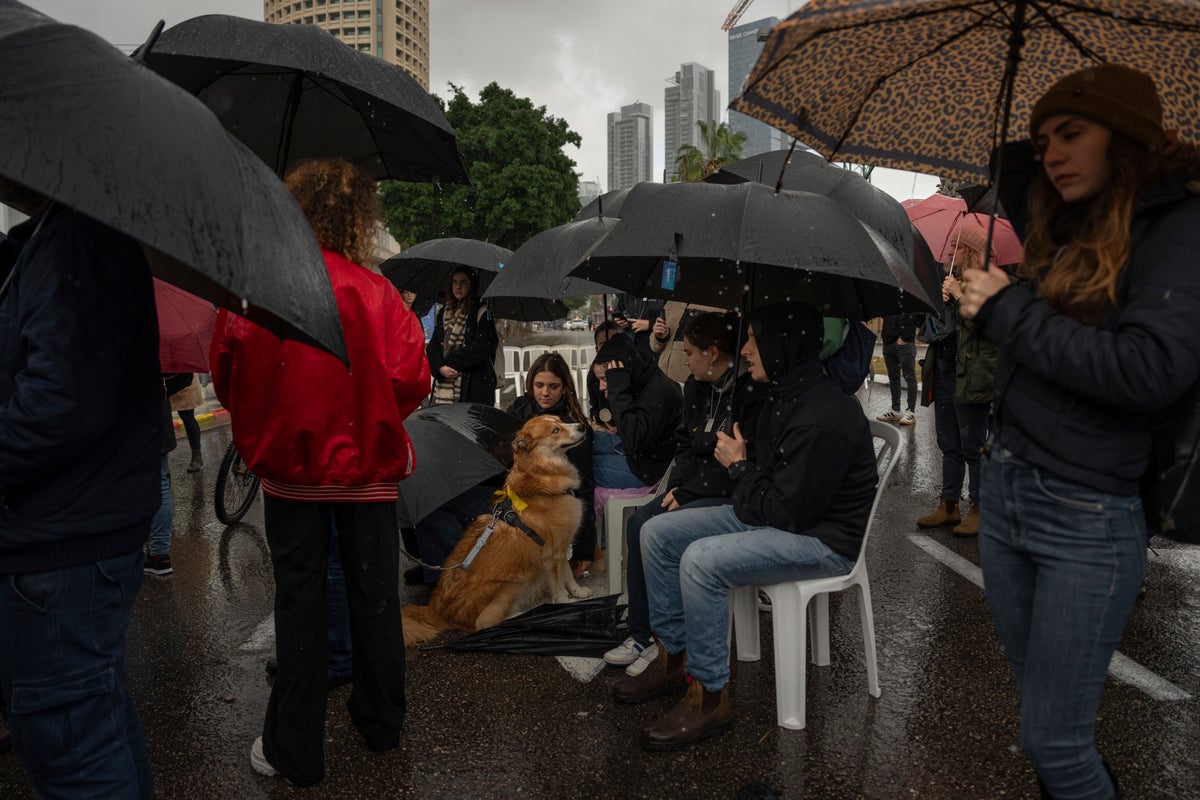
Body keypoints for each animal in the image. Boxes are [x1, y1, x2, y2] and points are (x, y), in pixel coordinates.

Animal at [403, 417, 590, 647]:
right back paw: (526, 614)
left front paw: (579, 592)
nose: (582, 425)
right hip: (515, 581)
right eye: (555, 430)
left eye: (561, 420)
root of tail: (438, 611)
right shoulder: (553, 554)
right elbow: (559, 584)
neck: (542, 475)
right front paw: (564, 603)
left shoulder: (562, 547)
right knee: (485, 623)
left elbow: (568, 575)